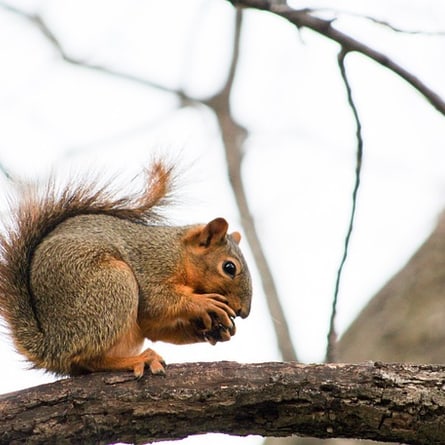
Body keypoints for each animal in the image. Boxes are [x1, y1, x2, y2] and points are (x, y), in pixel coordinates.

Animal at [0, 161, 250, 376]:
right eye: (229, 267)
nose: (243, 312)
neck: (179, 255)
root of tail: (52, 344)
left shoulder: (148, 321)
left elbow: (154, 327)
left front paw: (213, 329)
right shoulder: (151, 266)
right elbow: (157, 302)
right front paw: (203, 303)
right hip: (113, 285)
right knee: (88, 359)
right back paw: (140, 359)